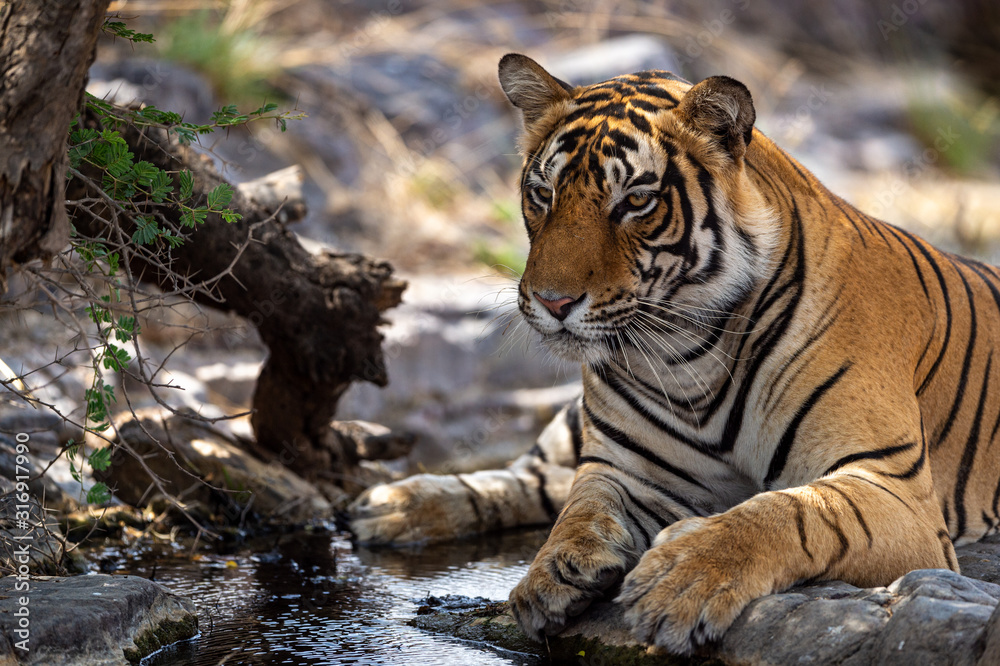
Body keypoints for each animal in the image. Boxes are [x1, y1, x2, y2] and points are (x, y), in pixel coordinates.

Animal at [349, 53, 1000, 655]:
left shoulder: (893, 486)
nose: (552, 301)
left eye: (635, 201)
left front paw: (680, 582)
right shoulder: (625, 467)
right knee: (538, 473)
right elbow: (581, 505)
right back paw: (395, 505)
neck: (687, 352)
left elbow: (784, 511)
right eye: (542, 193)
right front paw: (550, 573)